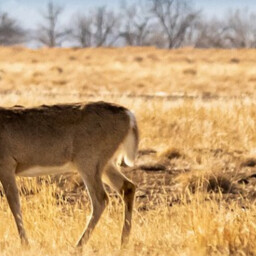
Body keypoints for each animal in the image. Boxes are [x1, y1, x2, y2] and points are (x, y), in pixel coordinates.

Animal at [0, 101, 139, 247]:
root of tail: (129, 116)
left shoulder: (6, 165)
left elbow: (14, 204)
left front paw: (25, 244)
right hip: (104, 164)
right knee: (127, 187)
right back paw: (123, 242)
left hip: (88, 161)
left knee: (101, 198)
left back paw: (78, 246)